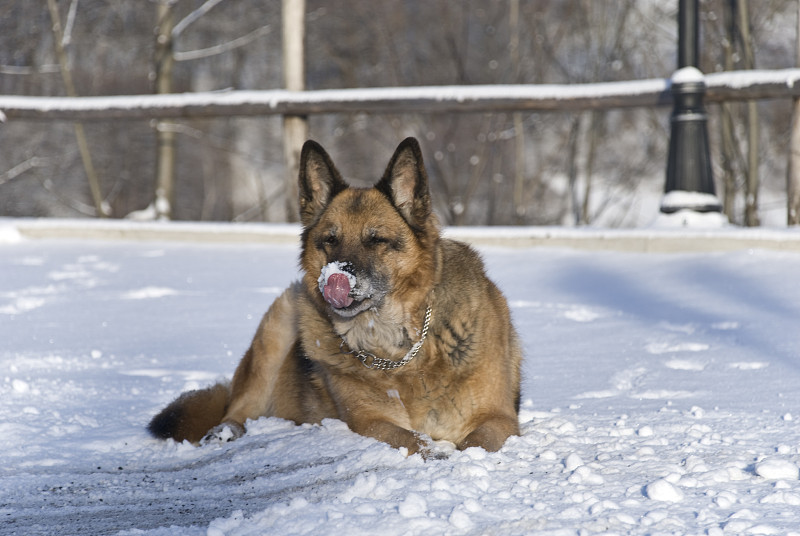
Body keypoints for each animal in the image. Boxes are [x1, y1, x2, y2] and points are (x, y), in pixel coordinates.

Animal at [148, 138, 524, 456]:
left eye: (376, 240)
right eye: (330, 240)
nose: (335, 278)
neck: (400, 348)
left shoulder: (499, 417)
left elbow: (474, 444)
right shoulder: (371, 421)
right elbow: (414, 440)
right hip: (279, 323)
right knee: (237, 408)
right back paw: (224, 432)